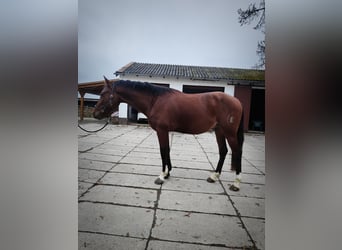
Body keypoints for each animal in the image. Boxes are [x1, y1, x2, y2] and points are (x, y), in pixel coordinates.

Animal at [93, 77, 243, 190]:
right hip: (219, 131)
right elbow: (167, 150)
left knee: (237, 152)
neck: (155, 100)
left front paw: (161, 176)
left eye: (102, 94)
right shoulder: (165, 131)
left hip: (229, 133)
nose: (95, 113)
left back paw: (236, 183)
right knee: (223, 151)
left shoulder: (161, 131)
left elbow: (163, 151)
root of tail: (237, 101)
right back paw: (214, 176)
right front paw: (167, 173)